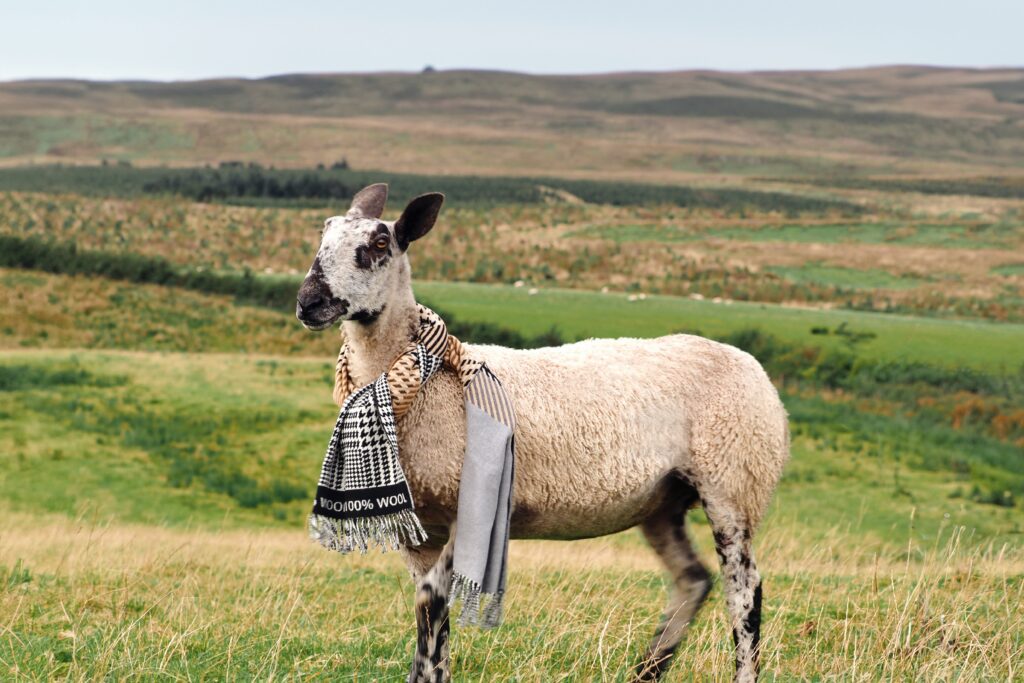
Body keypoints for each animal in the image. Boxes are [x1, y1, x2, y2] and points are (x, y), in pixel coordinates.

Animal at [296, 184, 790, 683]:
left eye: (380, 244)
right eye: (323, 235)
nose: (308, 301)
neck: (423, 385)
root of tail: (755, 368)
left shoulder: (473, 507)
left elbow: (432, 600)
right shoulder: (421, 531)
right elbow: (431, 611)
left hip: (733, 482)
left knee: (744, 591)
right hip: (663, 500)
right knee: (693, 579)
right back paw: (647, 669)